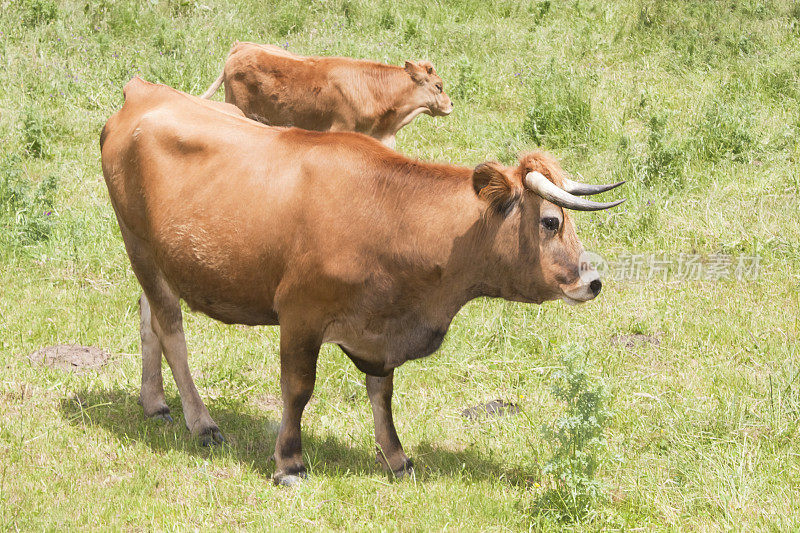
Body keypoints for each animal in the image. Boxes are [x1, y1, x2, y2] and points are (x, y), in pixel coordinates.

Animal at [101, 80, 624, 486]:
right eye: (551, 222)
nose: (593, 281)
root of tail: (144, 90)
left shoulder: (381, 323)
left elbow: (382, 392)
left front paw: (396, 457)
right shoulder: (300, 313)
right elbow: (298, 388)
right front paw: (289, 462)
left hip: (160, 256)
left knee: (149, 317)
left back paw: (154, 402)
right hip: (137, 242)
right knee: (171, 328)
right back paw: (202, 422)